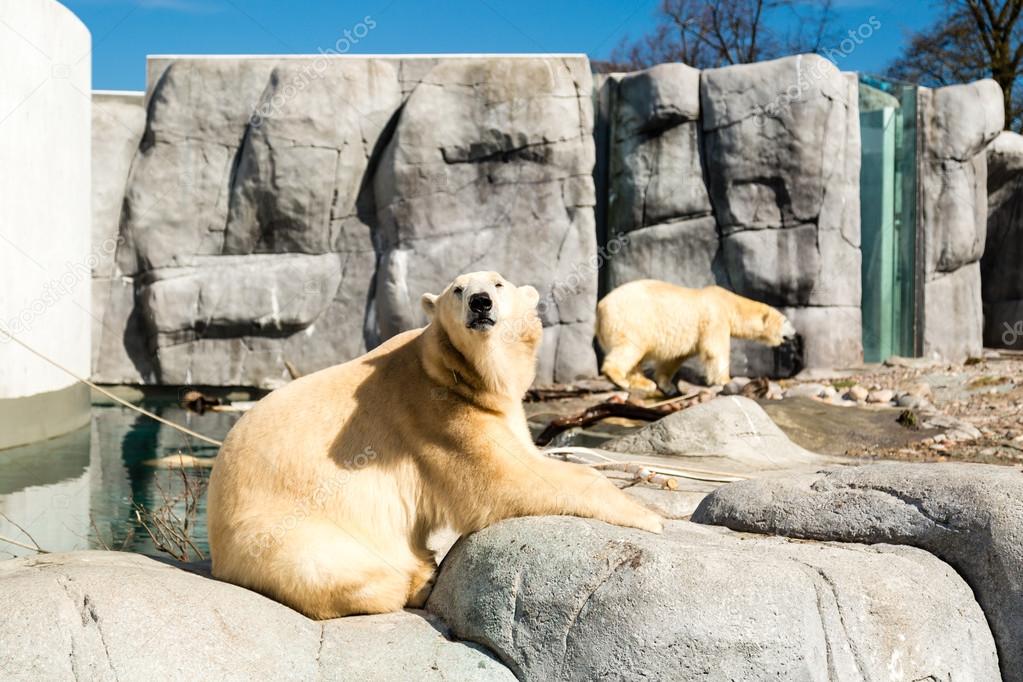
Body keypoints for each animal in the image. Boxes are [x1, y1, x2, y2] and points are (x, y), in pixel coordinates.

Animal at [207, 271, 662, 619]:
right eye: (458, 288)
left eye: (498, 283)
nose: (480, 302)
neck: (455, 371)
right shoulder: (435, 415)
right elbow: (502, 481)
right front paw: (649, 516)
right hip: (276, 529)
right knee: (329, 568)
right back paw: (417, 576)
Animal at [596, 280, 797, 392]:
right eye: (786, 320)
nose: (795, 333)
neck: (729, 303)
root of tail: (600, 307)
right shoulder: (715, 317)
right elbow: (716, 349)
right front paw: (726, 380)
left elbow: (675, 358)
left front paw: (667, 385)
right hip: (633, 319)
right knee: (630, 347)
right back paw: (619, 378)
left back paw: (644, 383)